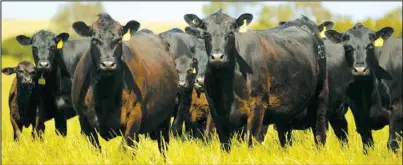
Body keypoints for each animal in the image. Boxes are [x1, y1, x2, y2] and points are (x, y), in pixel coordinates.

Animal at [71, 13, 178, 156]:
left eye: (119, 39)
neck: (105, 95)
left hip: (165, 120)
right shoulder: (84, 121)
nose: (108, 64)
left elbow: (125, 149)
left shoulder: (134, 117)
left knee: (163, 146)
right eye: (94, 39)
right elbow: (97, 150)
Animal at [185, 10, 330, 151]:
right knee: (285, 139)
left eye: (231, 33)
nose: (217, 57)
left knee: (319, 135)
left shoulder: (257, 107)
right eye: (206, 33)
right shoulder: (217, 113)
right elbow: (224, 145)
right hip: (285, 110)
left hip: (320, 97)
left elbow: (251, 142)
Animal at [326, 22, 396, 153]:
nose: (360, 70)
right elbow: (368, 146)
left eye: (370, 46)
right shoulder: (361, 119)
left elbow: (391, 144)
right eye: (347, 47)